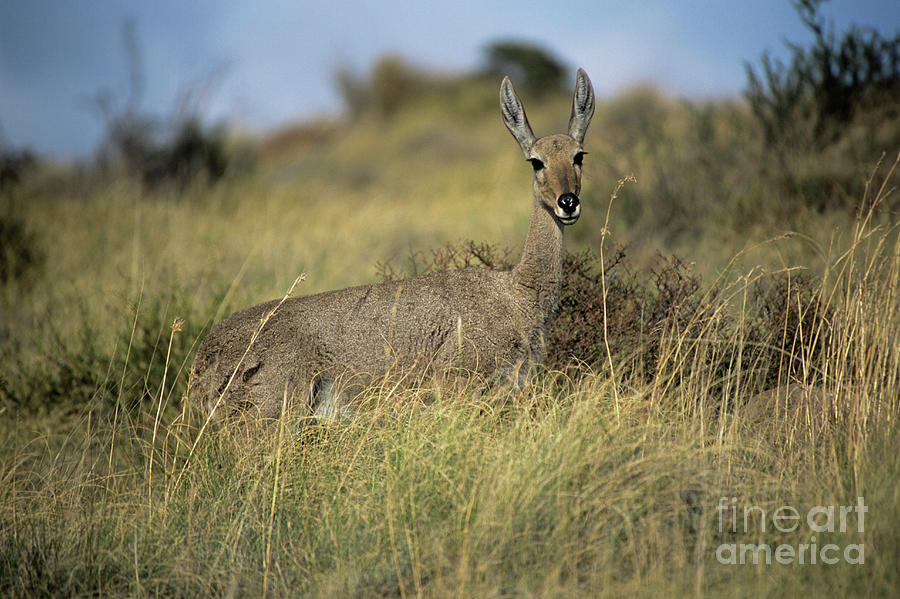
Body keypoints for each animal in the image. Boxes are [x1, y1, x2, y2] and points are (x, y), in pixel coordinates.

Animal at [188, 69, 596, 422]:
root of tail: (202, 362)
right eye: (535, 162)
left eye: (579, 155)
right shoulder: (458, 384)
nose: (568, 202)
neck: (517, 295)